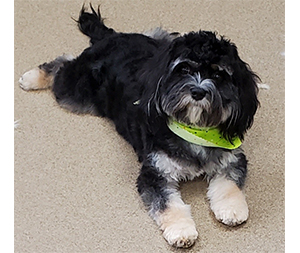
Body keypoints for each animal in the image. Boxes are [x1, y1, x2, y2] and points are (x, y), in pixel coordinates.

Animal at [19, 4, 258, 248]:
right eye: (184, 70)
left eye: (219, 74)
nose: (198, 92)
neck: (194, 130)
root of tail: (110, 37)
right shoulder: (154, 173)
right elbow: (168, 205)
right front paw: (181, 231)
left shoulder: (231, 160)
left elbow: (230, 185)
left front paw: (232, 210)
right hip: (76, 91)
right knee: (62, 65)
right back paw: (32, 77)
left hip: (161, 41)